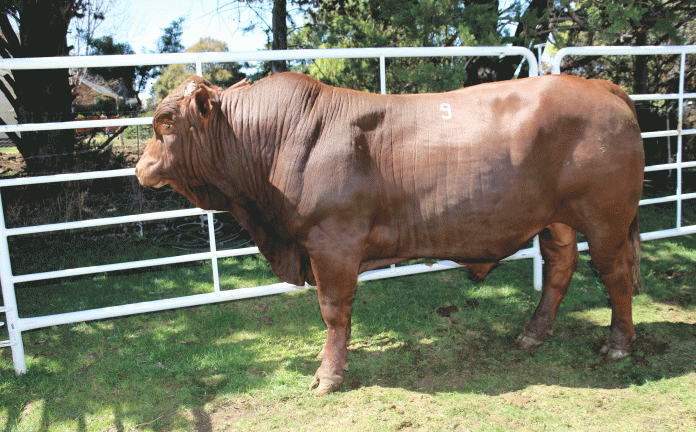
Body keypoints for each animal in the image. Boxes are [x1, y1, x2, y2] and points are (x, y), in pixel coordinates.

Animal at [135, 72, 644, 396]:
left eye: (166, 123)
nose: (139, 166)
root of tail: (598, 84)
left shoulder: (332, 244)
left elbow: (333, 312)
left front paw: (328, 376)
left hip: (605, 220)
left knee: (615, 274)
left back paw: (619, 345)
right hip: (557, 221)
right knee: (560, 269)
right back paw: (533, 334)